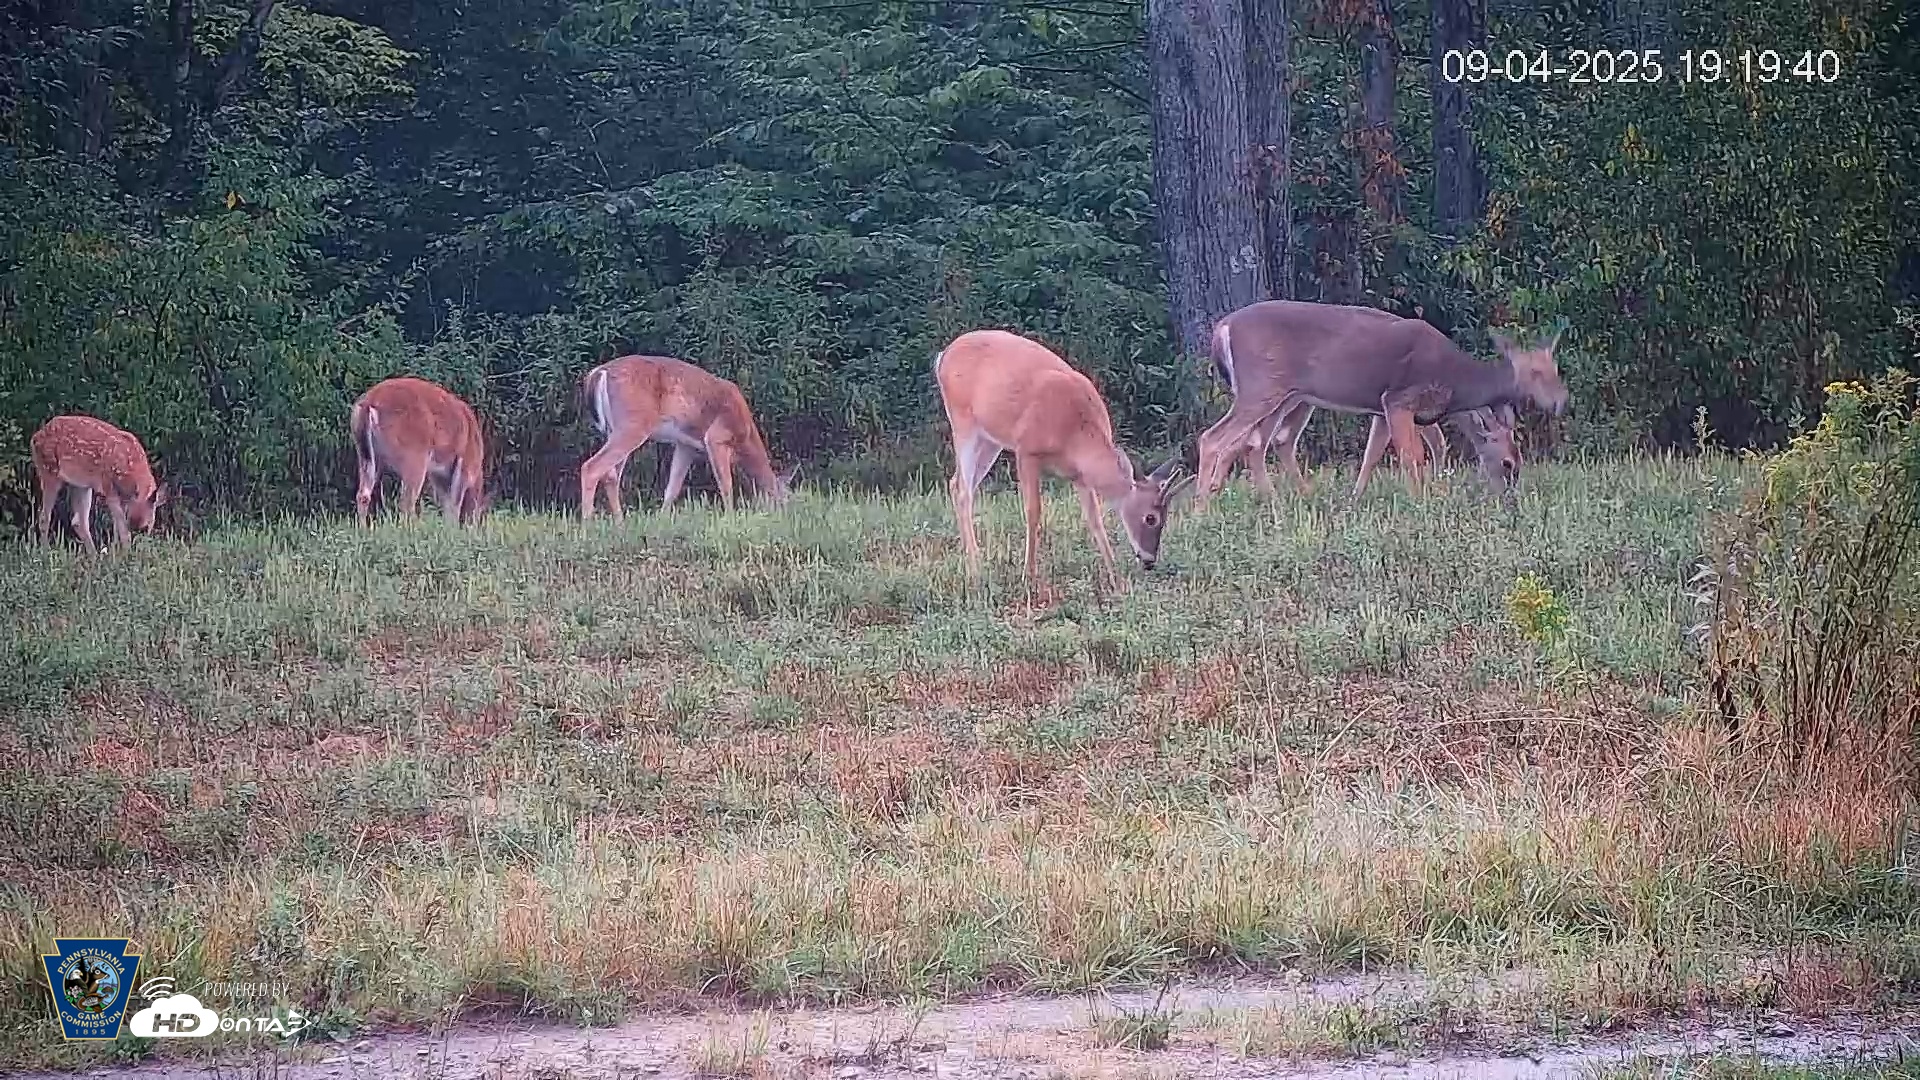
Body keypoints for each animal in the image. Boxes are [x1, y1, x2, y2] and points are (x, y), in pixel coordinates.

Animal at [31, 415, 169, 552]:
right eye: (136, 526)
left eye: (146, 527)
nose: (139, 549)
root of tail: (35, 437)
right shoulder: (108, 486)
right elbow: (122, 529)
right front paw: (125, 553)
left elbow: (117, 527)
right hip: (49, 471)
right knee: (44, 517)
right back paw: (45, 553)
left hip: (80, 484)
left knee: (78, 522)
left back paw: (93, 555)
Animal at [349, 376, 490, 527]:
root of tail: (369, 401)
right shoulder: (464, 466)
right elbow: (454, 506)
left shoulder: (439, 477)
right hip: (414, 454)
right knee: (406, 502)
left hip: (367, 455)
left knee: (363, 494)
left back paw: (364, 528)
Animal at [578, 354, 797, 520]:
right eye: (785, 498)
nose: (786, 515)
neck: (746, 436)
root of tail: (599, 373)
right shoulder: (715, 437)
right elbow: (726, 484)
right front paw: (731, 519)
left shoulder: (685, 445)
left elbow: (673, 487)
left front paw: (662, 520)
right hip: (632, 425)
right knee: (592, 467)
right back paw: (588, 525)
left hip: (615, 429)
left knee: (611, 475)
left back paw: (620, 523)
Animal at [934, 328, 1195, 597]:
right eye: (1151, 518)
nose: (1149, 560)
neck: (1074, 434)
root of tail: (943, 355)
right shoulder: (1026, 450)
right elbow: (1033, 511)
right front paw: (1029, 577)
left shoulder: (1079, 475)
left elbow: (1095, 520)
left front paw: (1117, 580)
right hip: (963, 421)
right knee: (963, 490)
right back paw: (976, 570)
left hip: (990, 439)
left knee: (956, 484)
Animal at [1194, 299, 1566, 506]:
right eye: (1508, 463)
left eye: (1557, 369)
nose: (1561, 400)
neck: (1455, 381)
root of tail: (1222, 327)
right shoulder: (1399, 398)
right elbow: (1413, 455)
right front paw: (1423, 500)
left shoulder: (1382, 407)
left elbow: (1372, 455)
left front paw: (1355, 499)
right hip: (1262, 387)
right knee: (1217, 438)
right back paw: (1202, 508)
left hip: (1283, 395)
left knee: (1258, 441)